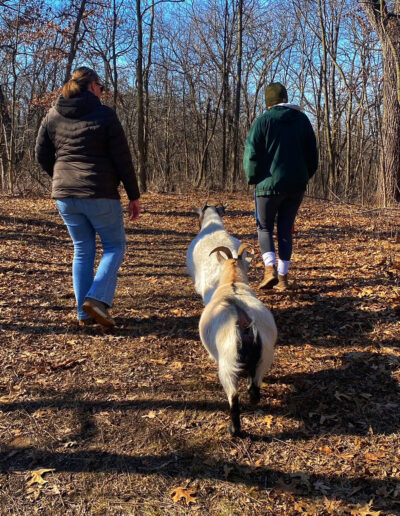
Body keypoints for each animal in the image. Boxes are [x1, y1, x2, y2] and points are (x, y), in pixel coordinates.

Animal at [198, 245, 276, 436]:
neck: (232, 283)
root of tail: (244, 322)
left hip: (227, 365)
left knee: (233, 396)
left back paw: (234, 430)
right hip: (264, 358)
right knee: (254, 389)